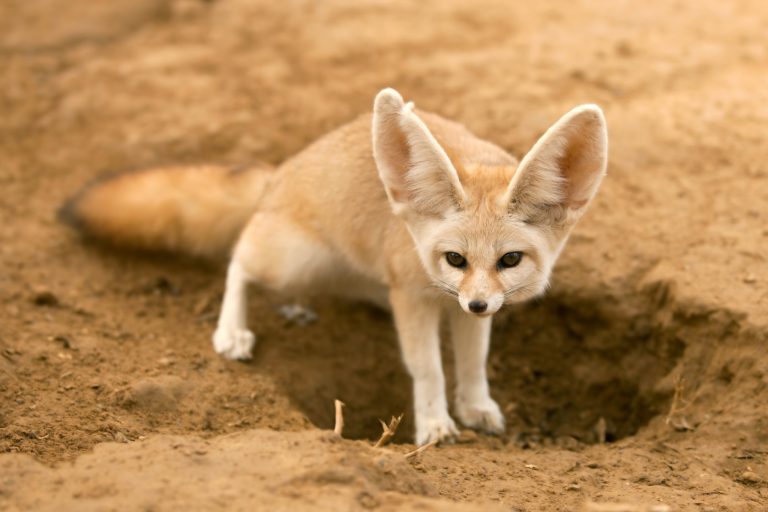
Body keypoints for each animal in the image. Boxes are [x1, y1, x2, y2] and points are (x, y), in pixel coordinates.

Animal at [60, 88, 608, 445]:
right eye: (455, 258)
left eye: (509, 260)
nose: (476, 303)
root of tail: (279, 173)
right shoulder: (413, 297)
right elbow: (428, 367)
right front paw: (434, 424)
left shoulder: (460, 307)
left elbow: (473, 362)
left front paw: (475, 406)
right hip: (293, 259)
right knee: (239, 256)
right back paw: (232, 330)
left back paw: (296, 307)